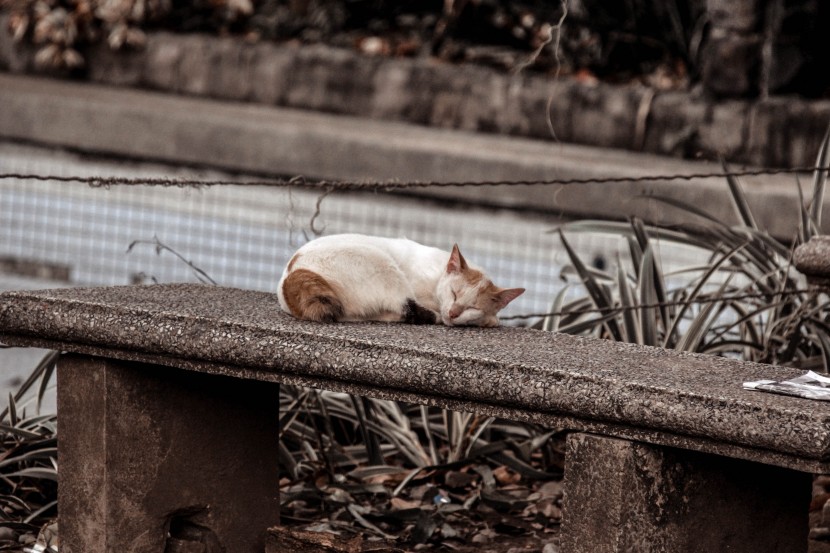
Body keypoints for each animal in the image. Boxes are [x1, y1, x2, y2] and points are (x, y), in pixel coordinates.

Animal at [280, 234, 528, 328]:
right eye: (454, 293)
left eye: (472, 307)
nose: (453, 313)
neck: (437, 274)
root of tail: (293, 273)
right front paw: (489, 320)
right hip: (385, 267)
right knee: (407, 307)